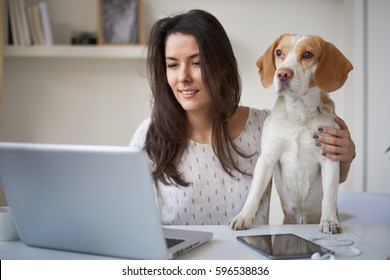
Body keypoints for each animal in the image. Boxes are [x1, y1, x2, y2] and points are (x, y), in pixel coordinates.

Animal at [229, 33, 354, 234]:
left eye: (307, 54)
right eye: (279, 52)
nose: (282, 74)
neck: (299, 115)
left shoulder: (329, 158)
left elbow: (328, 197)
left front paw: (329, 221)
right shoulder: (268, 158)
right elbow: (255, 192)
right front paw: (243, 216)